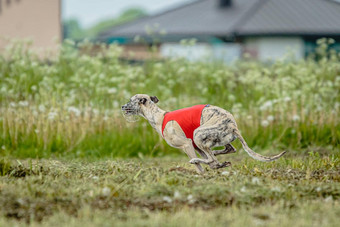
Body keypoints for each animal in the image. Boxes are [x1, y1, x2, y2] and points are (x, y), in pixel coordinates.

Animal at [121, 95, 286, 173]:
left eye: (130, 100)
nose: (122, 106)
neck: (159, 117)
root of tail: (234, 126)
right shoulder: (194, 145)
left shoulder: (187, 144)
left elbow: (201, 167)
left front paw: (200, 173)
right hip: (206, 139)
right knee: (226, 151)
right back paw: (218, 159)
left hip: (198, 134)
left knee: (211, 159)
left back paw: (204, 160)